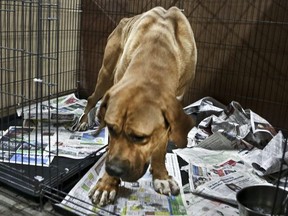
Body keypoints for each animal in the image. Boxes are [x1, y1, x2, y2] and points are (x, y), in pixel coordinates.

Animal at [73, 6, 196, 206]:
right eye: (111, 129)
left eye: (140, 137)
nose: (113, 170)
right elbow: (111, 146)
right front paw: (106, 185)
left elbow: (160, 148)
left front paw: (161, 176)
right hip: (105, 73)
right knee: (91, 98)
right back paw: (84, 121)